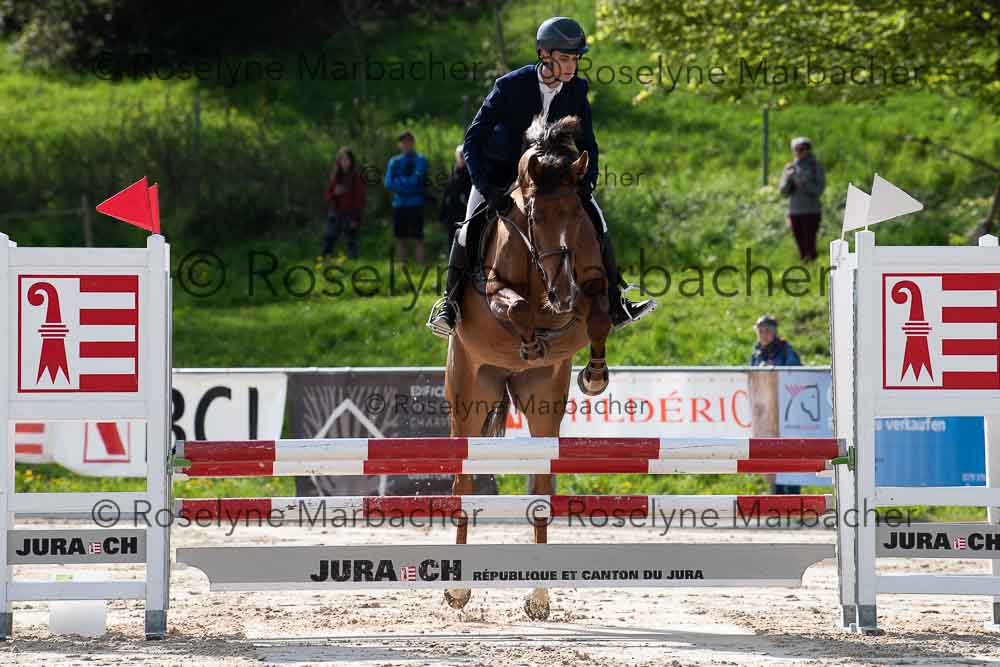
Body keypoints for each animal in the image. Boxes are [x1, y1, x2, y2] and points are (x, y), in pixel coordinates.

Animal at [443, 114, 612, 620]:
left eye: (578, 216)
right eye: (535, 219)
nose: (562, 294)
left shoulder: (591, 285)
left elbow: (599, 314)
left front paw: (594, 373)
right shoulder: (495, 290)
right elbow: (516, 307)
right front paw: (531, 338)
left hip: (543, 403)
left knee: (540, 491)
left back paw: (538, 597)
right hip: (469, 394)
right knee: (463, 483)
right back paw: (458, 590)